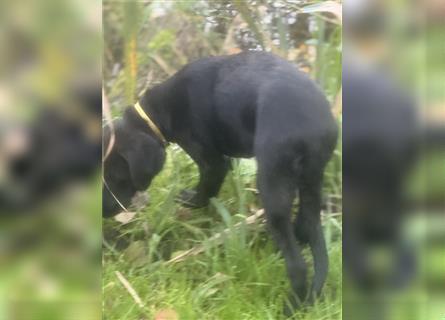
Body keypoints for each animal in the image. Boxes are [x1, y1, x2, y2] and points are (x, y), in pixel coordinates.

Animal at [103, 52, 336, 310]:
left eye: (115, 177)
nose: (103, 211)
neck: (161, 110)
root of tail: (313, 126)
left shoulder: (211, 161)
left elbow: (206, 190)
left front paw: (189, 201)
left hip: (273, 183)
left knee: (297, 265)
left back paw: (293, 305)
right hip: (311, 180)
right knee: (306, 226)